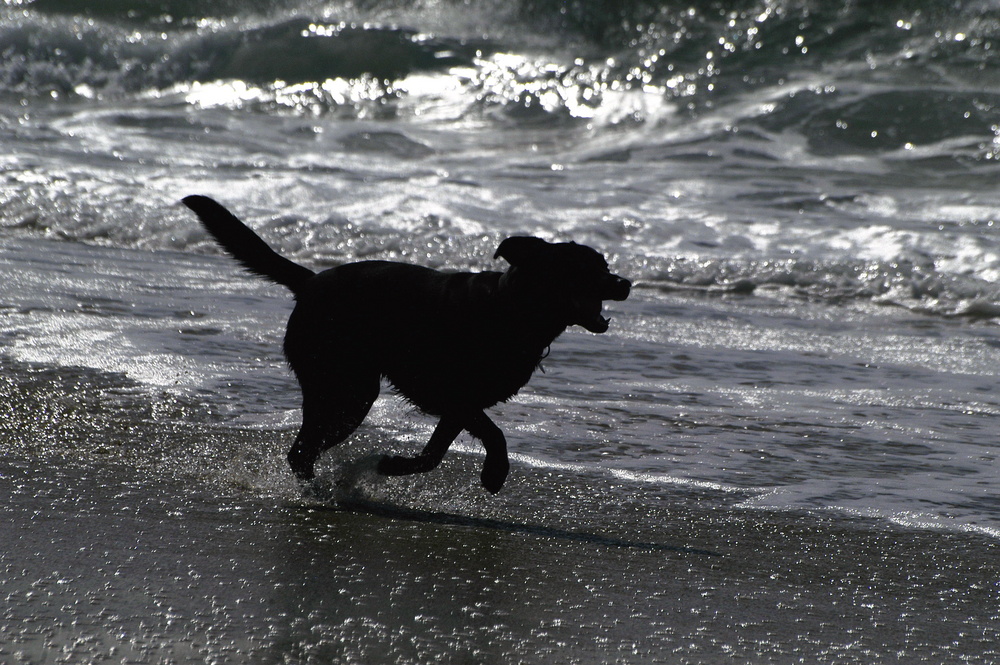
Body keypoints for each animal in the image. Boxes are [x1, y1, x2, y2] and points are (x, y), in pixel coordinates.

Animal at [184, 195, 628, 490]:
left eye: (605, 266)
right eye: (588, 270)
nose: (626, 283)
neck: (512, 307)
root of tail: (310, 281)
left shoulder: (459, 407)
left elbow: (433, 454)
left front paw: (393, 466)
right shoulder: (456, 396)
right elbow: (493, 435)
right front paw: (494, 473)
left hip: (347, 392)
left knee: (305, 448)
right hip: (347, 391)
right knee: (303, 450)